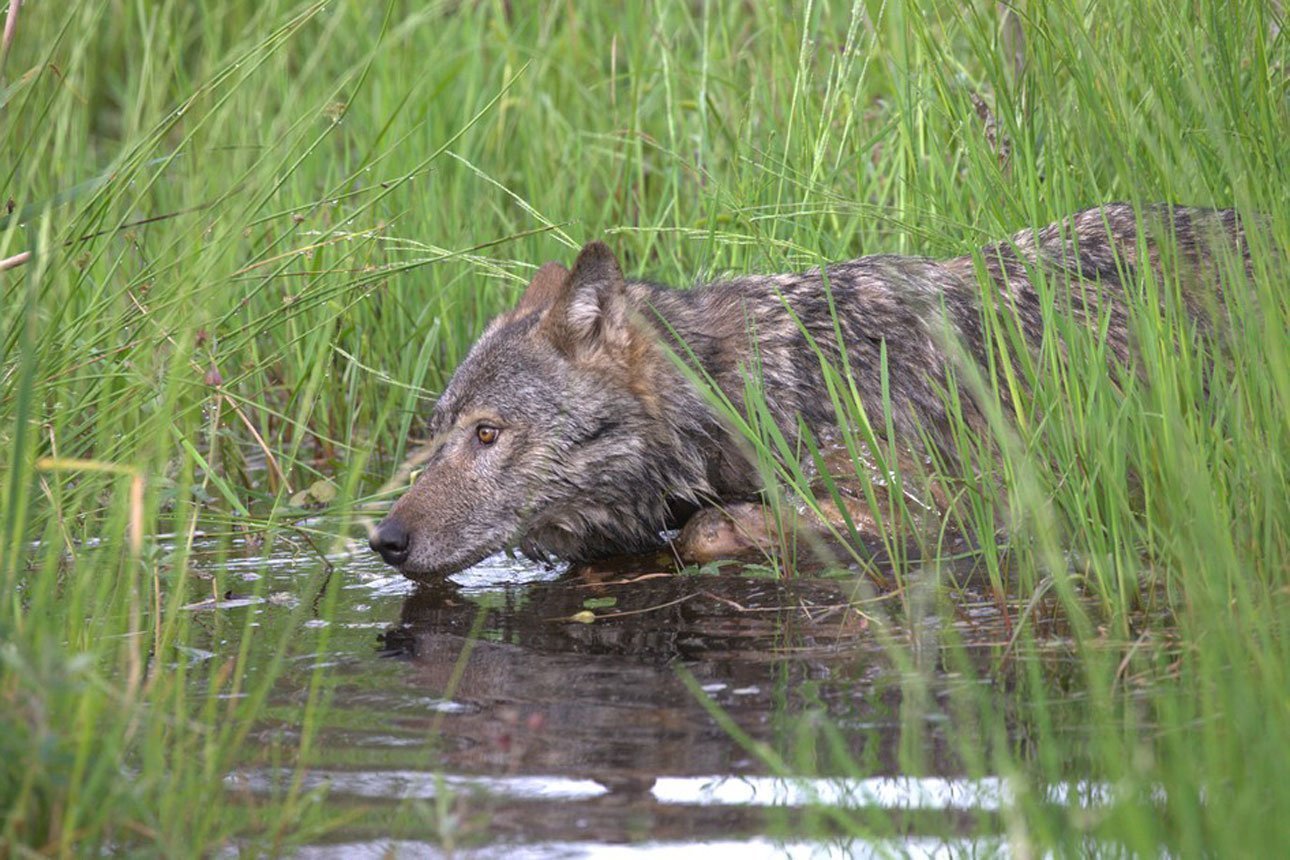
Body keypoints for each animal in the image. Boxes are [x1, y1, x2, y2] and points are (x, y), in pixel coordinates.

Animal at [371, 205, 1248, 577]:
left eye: (488, 434)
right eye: (438, 431)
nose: (383, 541)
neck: (745, 397)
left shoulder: (942, 510)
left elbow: (714, 529)